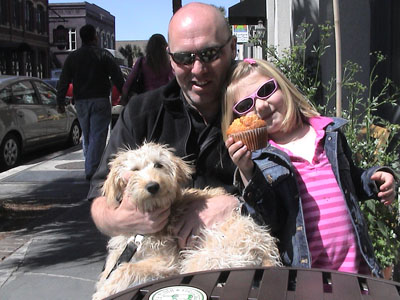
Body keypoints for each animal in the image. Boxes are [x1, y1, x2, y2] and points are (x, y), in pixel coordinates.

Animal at [93, 143, 282, 300]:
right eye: (134, 170)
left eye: (158, 165)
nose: (153, 186)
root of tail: (264, 245)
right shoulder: (125, 247)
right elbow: (112, 265)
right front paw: (103, 284)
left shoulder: (168, 261)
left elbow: (126, 268)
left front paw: (104, 292)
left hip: (201, 259)